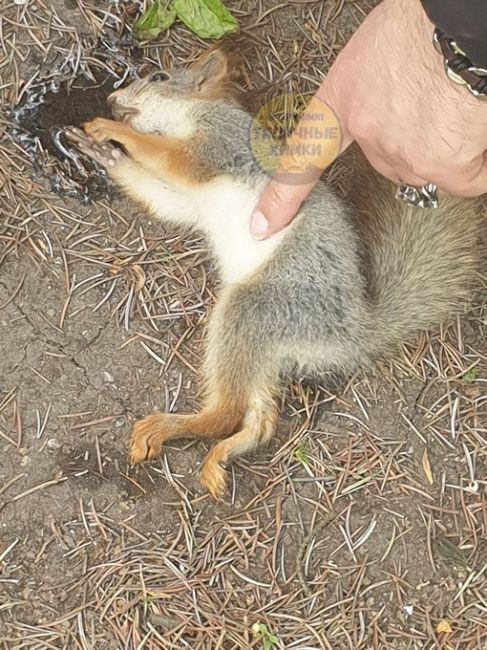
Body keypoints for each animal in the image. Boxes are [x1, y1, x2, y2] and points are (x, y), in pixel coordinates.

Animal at [66, 49, 484, 496]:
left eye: (159, 76)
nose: (112, 100)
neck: (188, 114)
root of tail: (355, 331)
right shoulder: (186, 202)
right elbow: (162, 195)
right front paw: (103, 153)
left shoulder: (220, 140)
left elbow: (172, 156)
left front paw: (109, 130)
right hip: (267, 348)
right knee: (260, 417)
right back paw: (223, 452)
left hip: (258, 308)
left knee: (227, 412)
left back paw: (169, 427)